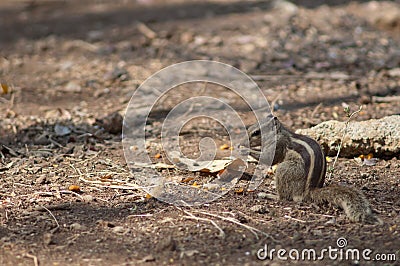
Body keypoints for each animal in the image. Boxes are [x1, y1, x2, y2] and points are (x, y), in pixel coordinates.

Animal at [244, 114, 382, 224]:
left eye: (256, 133)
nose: (245, 140)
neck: (279, 133)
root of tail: (308, 191)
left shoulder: (279, 145)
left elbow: (270, 158)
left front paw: (245, 149)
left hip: (284, 169)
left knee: (284, 197)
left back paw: (268, 195)